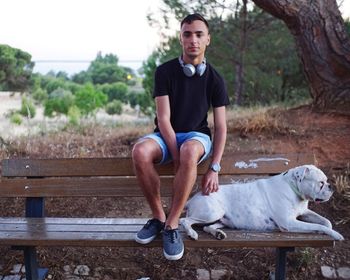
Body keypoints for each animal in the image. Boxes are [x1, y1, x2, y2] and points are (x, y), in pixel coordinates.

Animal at [182, 164, 344, 241]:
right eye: (320, 183)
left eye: (326, 181)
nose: (331, 186)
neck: (292, 187)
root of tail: (192, 198)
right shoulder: (289, 223)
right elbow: (318, 226)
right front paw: (335, 234)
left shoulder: (304, 212)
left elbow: (325, 221)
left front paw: (329, 229)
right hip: (212, 212)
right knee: (184, 220)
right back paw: (192, 233)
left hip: (222, 219)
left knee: (207, 227)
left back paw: (218, 233)